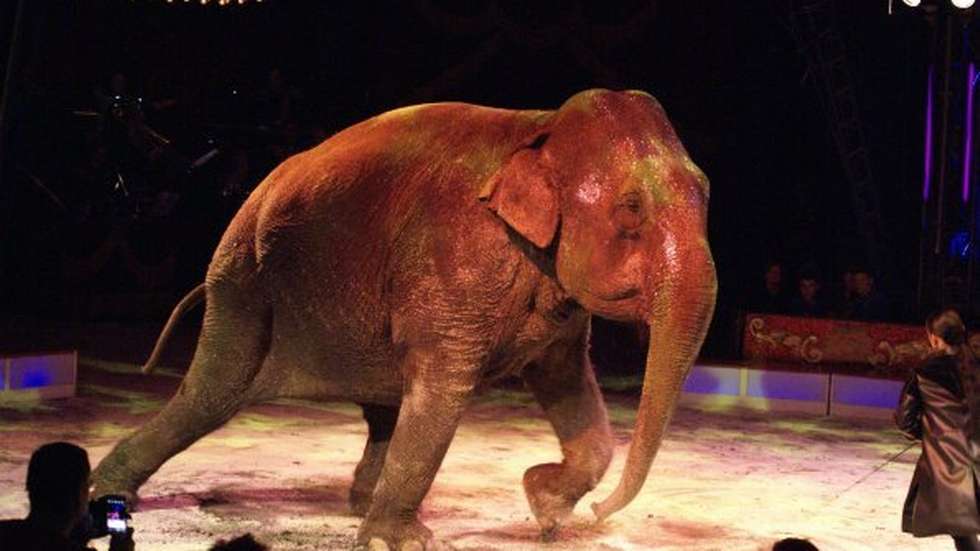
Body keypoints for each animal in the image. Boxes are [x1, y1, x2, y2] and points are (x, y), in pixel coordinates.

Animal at [91, 88, 717, 549]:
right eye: (632, 208)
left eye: (707, 193)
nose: (599, 514)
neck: (538, 130)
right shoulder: (452, 262)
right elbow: (445, 388)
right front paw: (405, 542)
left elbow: (564, 378)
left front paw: (544, 506)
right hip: (242, 283)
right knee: (210, 397)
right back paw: (106, 494)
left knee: (382, 410)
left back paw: (360, 505)